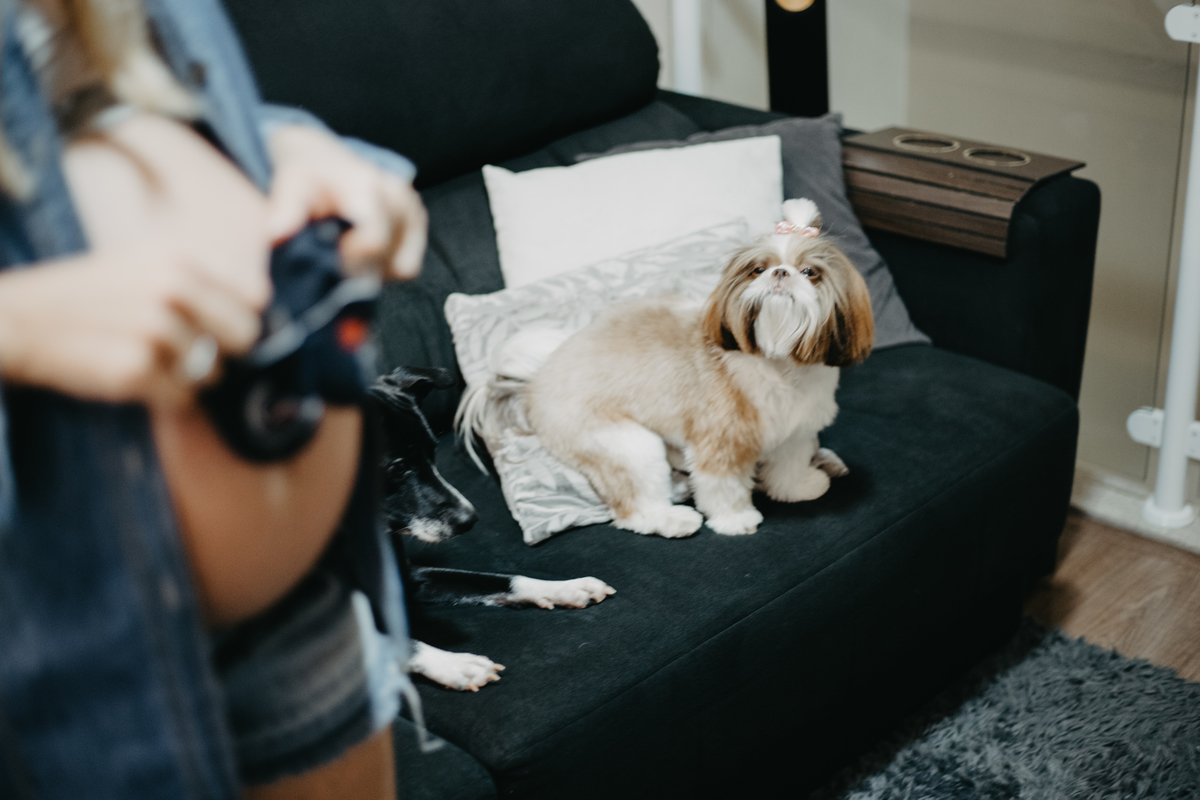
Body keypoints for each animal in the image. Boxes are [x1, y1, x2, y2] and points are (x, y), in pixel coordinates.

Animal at [371, 367, 615, 691]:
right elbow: (395, 643)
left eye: (433, 451)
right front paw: (454, 663)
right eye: (398, 468)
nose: (470, 519)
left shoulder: (412, 578)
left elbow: (500, 579)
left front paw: (564, 587)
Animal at [459, 198, 873, 539]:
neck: (779, 364)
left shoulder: (796, 430)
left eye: (810, 273)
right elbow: (722, 484)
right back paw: (671, 519)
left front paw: (797, 487)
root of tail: (537, 381)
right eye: (758, 270)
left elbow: (788, 463)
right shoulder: (721, 438)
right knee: (633, 509)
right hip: (623, 444)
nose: (781, 273)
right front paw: (735, 519)